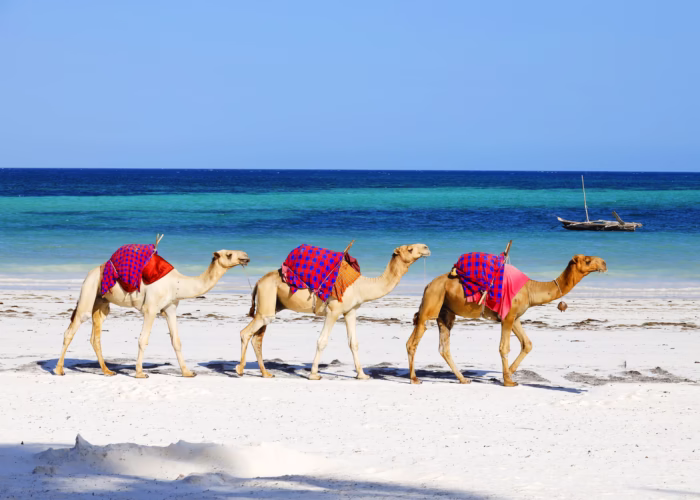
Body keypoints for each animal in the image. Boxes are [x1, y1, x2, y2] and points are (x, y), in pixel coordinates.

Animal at [54, 249, 250, 378]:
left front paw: (187, 372)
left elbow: (176, 341)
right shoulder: (151, 308)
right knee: (73, 327)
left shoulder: (170, 308)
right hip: (89, 290)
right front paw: (140, 373)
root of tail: (92, 271)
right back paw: (59, 370)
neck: (177, 283)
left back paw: (107, 371)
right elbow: (143, 339)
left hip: (101, 301)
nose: (246, 257)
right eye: (229, 254)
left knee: (95, 336)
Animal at [238, 244, 431, 380]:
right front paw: (314, 374)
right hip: (267, 299)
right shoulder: (333, 310)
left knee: (257, 337)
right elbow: (322, 341)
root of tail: (259, 281)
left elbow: (354, 343)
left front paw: (362, 375)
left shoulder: (350, 311)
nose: (426, 248)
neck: (361, 286)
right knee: (246, 332)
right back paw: (240, 370)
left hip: (272, 304)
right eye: (410, 248)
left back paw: (266, 373)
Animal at [407, 254, 607, 386]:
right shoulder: (507, 317)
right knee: (413, 341)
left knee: (443, 347)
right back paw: (415, 379)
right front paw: (508, 381)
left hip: (445, 311)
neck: (531, 289)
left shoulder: (515, 317)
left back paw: (463, 379)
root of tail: (428, 285)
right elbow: (504, 347)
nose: (604, 263)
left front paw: (507, 374)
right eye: (588, 260)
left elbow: (527, 344)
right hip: (431, 303)